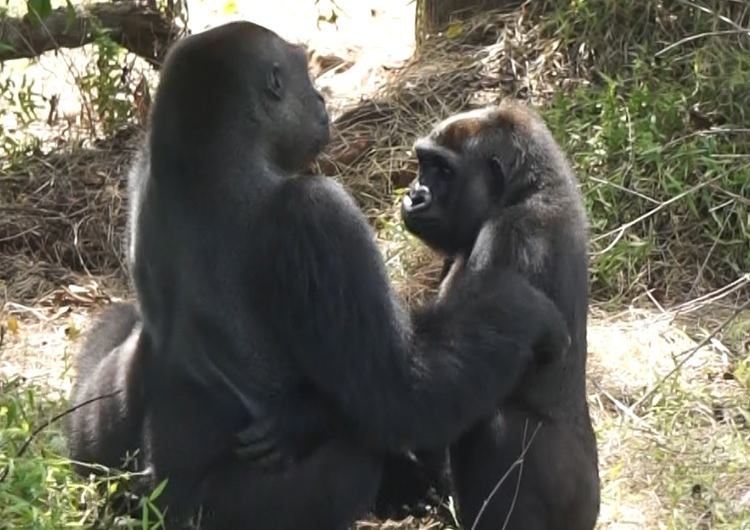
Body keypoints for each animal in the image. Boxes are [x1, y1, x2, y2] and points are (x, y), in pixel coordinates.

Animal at [69, 21, 568, 528]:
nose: (321, 98)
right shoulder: (318, 209)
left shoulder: (138, 168)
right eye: (304, 77)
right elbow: (397, 392)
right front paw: (522, 310)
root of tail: (156, 505)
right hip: (210, 512)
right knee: (352, 460)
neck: (200, 154)